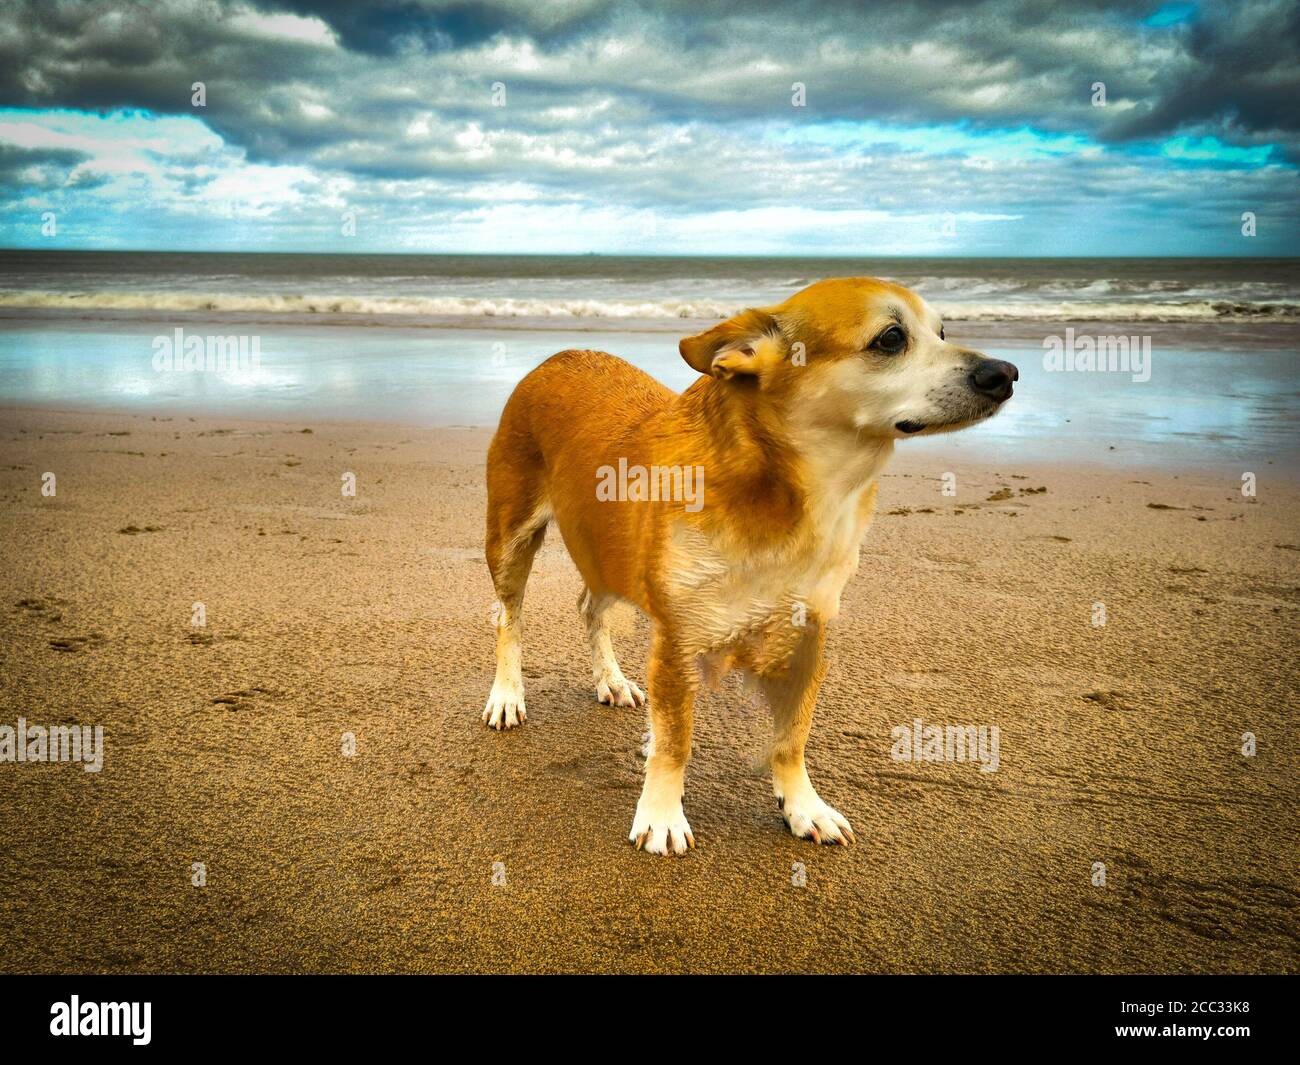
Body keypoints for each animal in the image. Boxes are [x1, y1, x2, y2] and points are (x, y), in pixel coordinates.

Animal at [483, 276, 1019, 858]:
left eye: (943, 331)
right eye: (891, 338)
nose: (1006, 373)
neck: (795, 495)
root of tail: (558, 357)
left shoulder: (808, 636)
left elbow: (792, 737)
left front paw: (803, 806)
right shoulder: (679, 641)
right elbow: (675, 742)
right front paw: (662, 815)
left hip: (606, 552)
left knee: (589, 606)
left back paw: (612, 680)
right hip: (511, 539)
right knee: (508, 618)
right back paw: (507, 695)